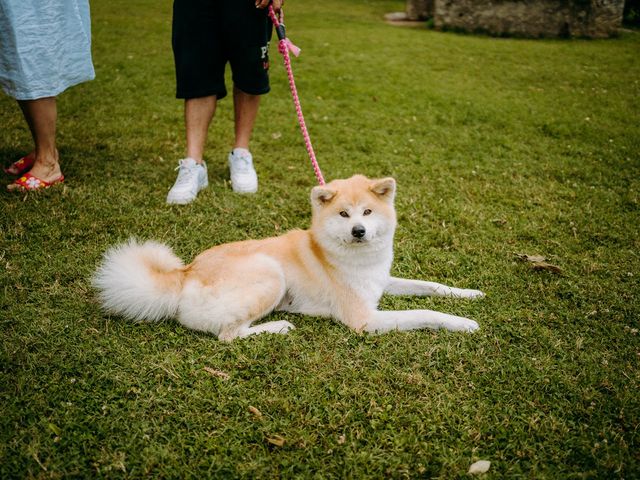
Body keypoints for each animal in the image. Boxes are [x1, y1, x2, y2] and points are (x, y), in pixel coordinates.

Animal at [92, 174, 482, 340]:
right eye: (344, 214)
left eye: (368, 212)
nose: (359, 231)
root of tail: (186, 272)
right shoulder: (364, 319)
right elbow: (425, 313)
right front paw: (462, 323)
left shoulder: (383, 282)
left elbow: (430, 286)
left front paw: (469, 294)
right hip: (271, 273)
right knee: (228, 335)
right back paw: (277, 326)